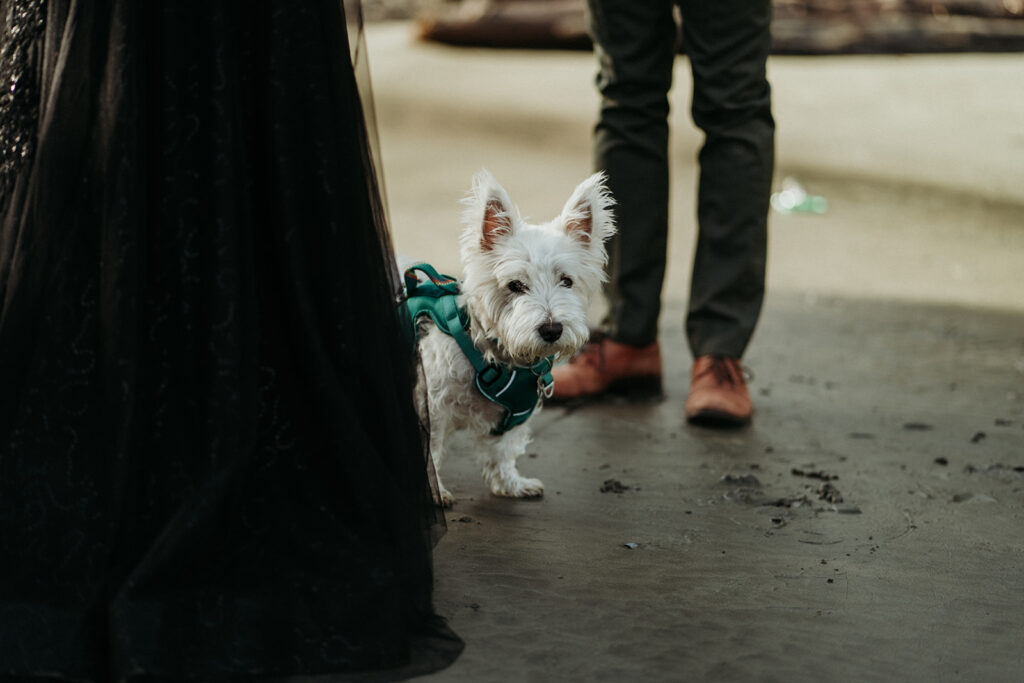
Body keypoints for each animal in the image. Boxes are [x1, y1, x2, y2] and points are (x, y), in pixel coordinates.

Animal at [405, 167, 614, 505]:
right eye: (515, 285)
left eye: (566, 281)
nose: (552, 329)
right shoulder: (432, 410)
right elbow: (430, 451)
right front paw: (435, 493)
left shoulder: (515, 414)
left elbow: (502, 452)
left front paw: (510, 483)